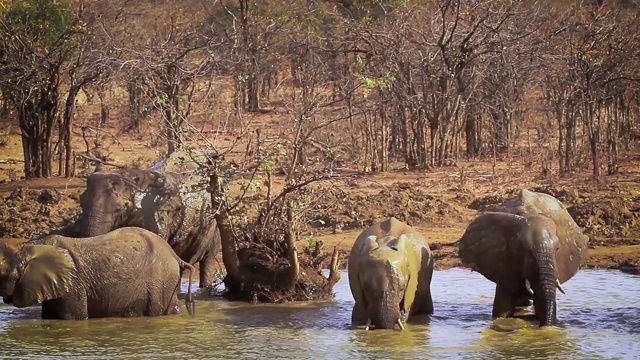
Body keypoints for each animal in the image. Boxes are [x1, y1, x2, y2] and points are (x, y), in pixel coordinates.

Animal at [0, 226, 195, 320]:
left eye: (3, 276)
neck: (29, 247)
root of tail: (175, 255)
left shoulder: (73, 285)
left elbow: (73, 317)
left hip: (161, 279)